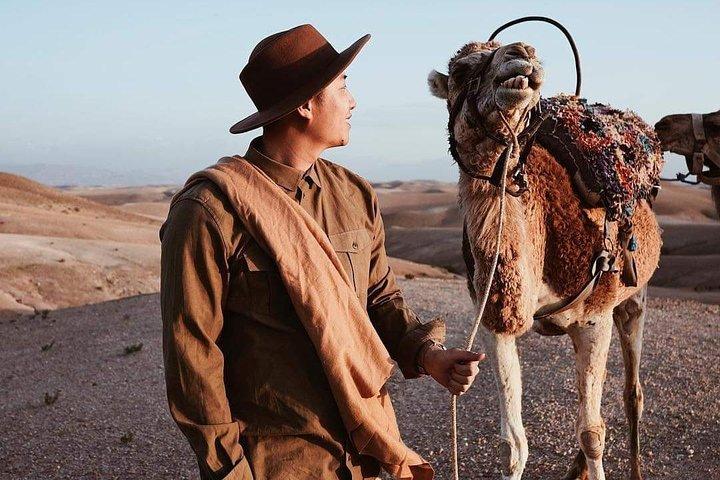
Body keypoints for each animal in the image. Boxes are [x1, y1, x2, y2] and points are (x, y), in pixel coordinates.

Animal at [428, 40, 662, 480]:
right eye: (462, 70)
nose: (521, 53)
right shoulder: (496, 318)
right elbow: (513, 444)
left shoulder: (595, 318)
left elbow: (592, 432)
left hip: (634, 297)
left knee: (631, 393)